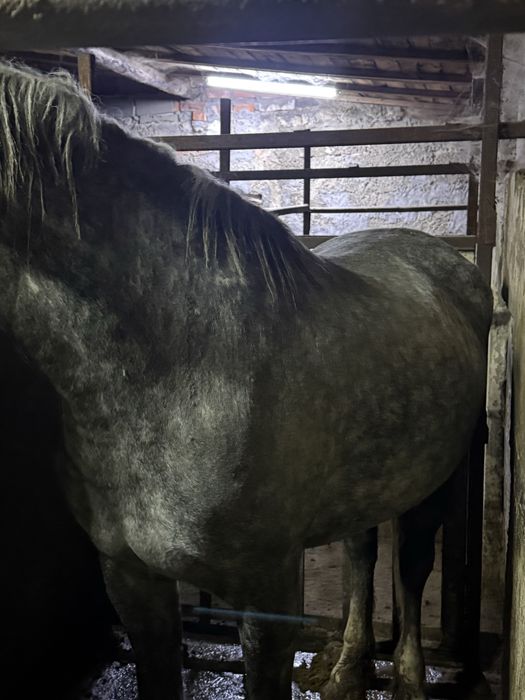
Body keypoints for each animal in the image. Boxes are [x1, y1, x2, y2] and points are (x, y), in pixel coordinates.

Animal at [0, 63, 492, 700]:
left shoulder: (267, 595)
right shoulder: (130, 578)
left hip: (437, 480)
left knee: (410, 567)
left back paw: (407, 679)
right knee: (362, 554)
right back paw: (347, 670)